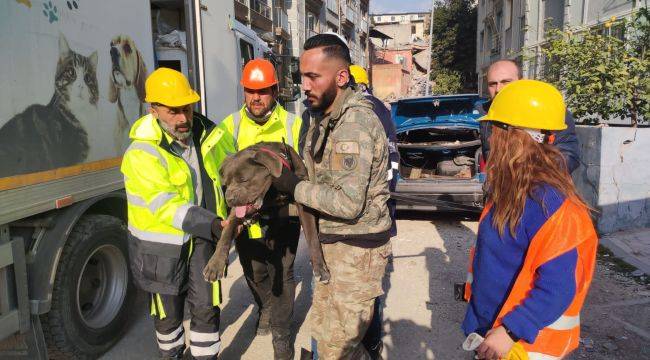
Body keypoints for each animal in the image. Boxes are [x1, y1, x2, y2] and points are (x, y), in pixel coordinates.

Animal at [204, 142, 330, 286]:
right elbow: (226, 233)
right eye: (226, 183)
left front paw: (320, 268)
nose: (229, 199)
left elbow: (312, 236)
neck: (272, 192)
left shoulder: (301, 197)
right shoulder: (236, 212)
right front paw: (215, 264)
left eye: (243, 180)